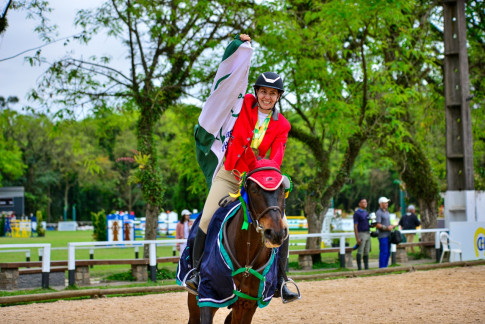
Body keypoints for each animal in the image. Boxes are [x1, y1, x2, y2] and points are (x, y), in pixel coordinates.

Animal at [185, 159, 292, 324]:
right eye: (254, 189)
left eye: (282, 190)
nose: (275, 233)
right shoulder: (208, 297)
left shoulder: (248, 304)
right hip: (194, 298)